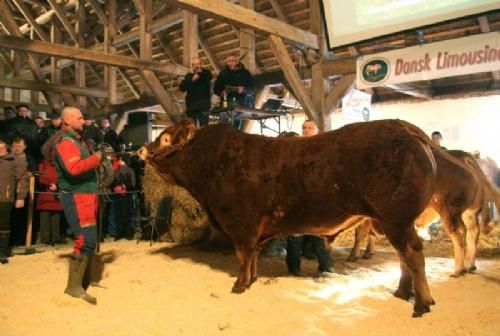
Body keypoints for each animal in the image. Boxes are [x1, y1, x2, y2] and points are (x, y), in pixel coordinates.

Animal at [141, 119, 438, 316]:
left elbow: (243, 255)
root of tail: (403, 127)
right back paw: (403, 293)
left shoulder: (241, 225)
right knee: (404, 258)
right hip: (394, 223)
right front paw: (252, 280)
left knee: (412, 255)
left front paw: (239, 285)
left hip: (396, 220)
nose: (142, 149)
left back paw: (421, 303)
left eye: (165, 138)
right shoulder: (254, 231)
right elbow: (253, 257)